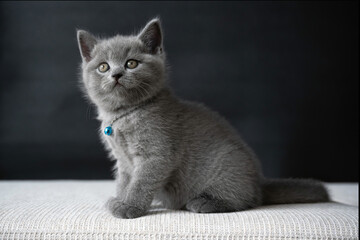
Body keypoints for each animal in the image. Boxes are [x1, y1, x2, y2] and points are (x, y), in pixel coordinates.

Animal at [76, 17, 330, 218]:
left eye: (131, 63)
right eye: (103, 67)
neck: (125, 114)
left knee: (245, 200)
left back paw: (204, 202)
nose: (116, 74)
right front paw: (121, 199)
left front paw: (129, 206)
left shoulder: (156, 154)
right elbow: (124, 181)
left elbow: (141, 182)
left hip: (228, 166)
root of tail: (260, 183)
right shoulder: (122, 160)